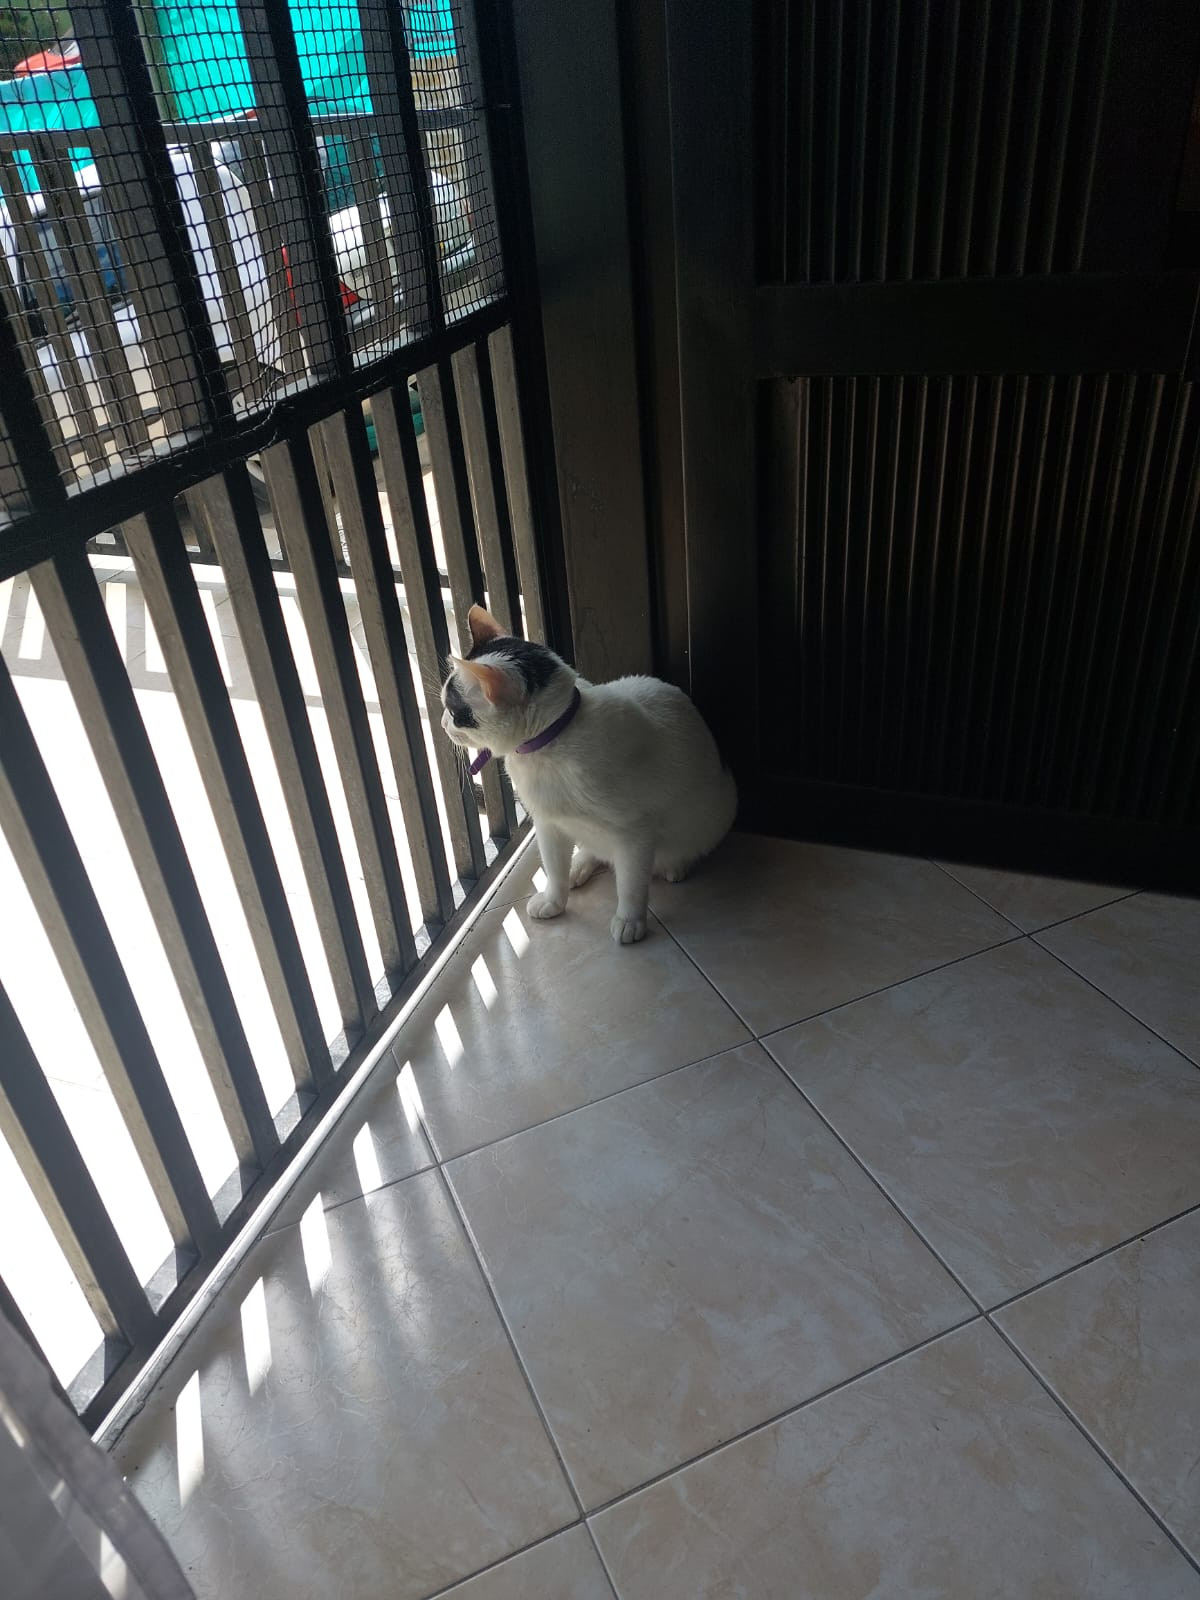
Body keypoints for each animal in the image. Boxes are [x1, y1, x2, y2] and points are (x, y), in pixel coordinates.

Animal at [441, 604, 737, 944]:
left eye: (455, 713)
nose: (442, 724)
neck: (553, 746)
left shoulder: (635, 833)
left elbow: (631, 884)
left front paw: (630, 919)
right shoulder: (548, 823)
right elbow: (553, 868)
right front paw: (554, 900)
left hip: (716, 811)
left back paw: (677, 864)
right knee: (593, 850)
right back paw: (579, 866)